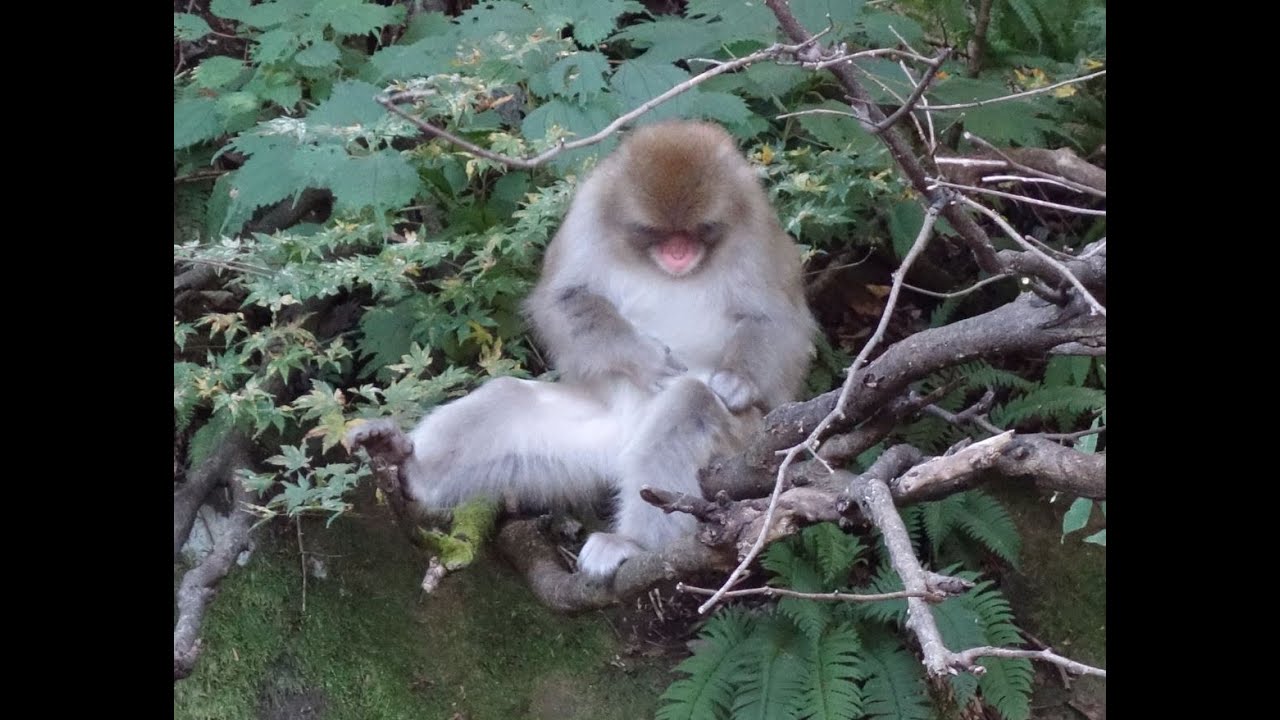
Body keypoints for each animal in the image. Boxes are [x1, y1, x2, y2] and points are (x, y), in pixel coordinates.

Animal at [364, 120, 817, 579]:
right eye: (656, 233)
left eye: (696, 230)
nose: (678, 252)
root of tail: (624, 444)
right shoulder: (589, 212)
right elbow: (564, 298)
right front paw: (644, 358)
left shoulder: (756, 225)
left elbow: (776, 320)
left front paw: (738, 382)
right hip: (588, 442)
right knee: (506, 398)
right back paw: (410, 468)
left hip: (740, 440)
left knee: (689, 408)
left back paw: (633, 542)